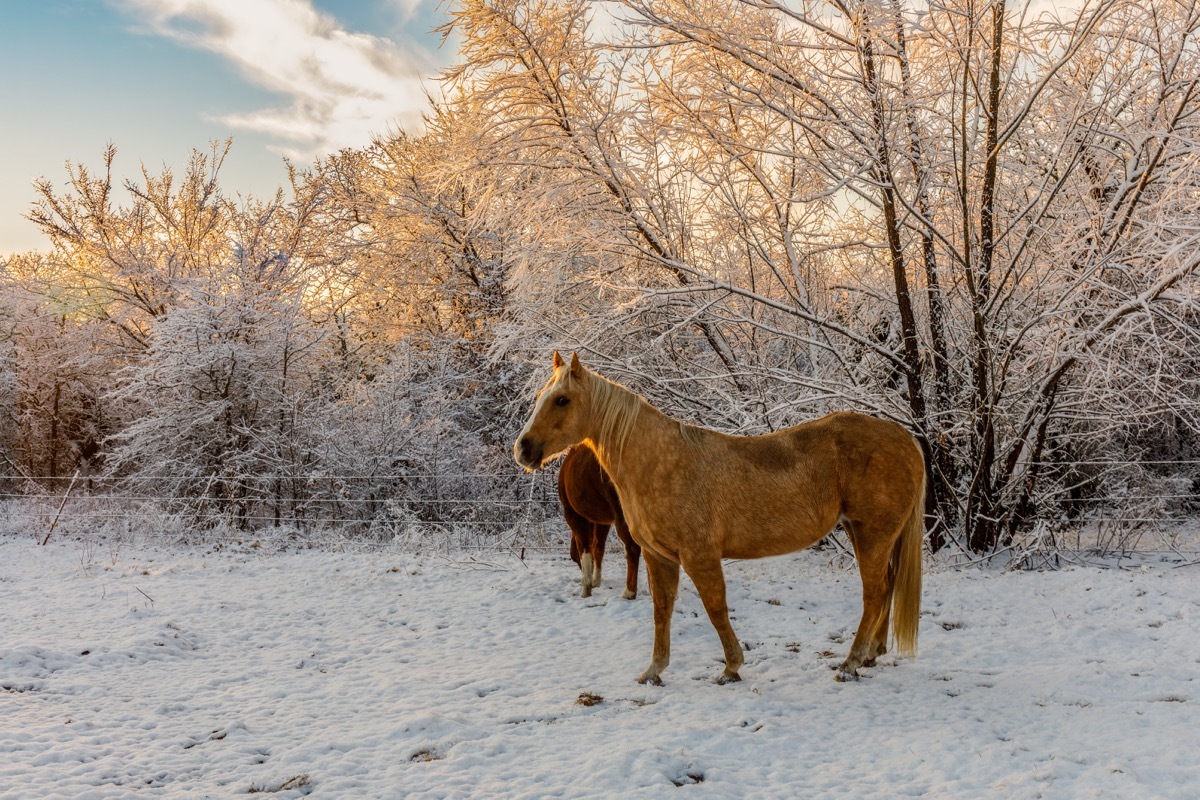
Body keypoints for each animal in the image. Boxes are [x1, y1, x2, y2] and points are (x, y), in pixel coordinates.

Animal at [559, 448, 643, 597]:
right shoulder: (601, 521)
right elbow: (598, 547)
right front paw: (595, 581)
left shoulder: (573, 515)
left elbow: (585, 548)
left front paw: (586, 588)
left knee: (633, 548)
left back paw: (629, 592)